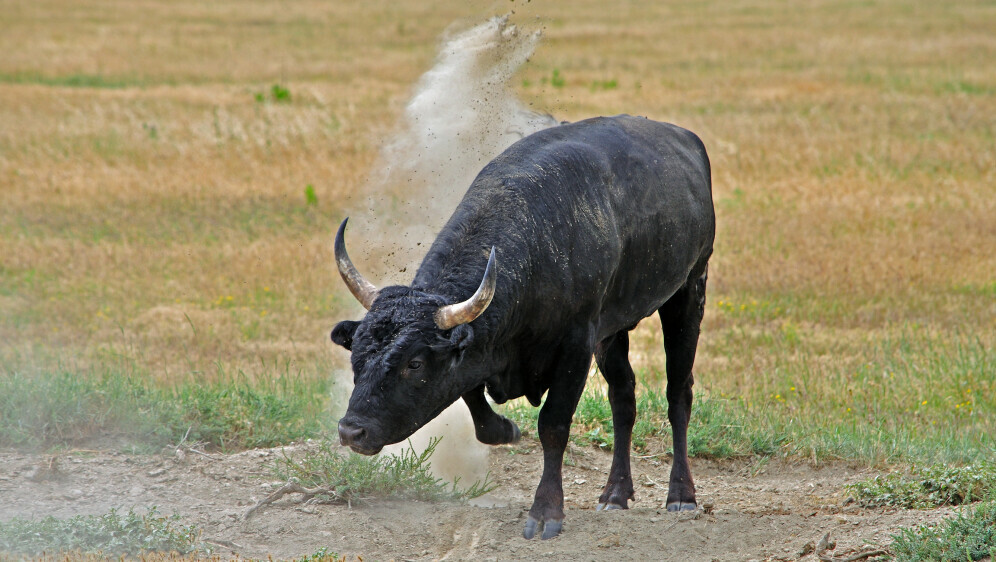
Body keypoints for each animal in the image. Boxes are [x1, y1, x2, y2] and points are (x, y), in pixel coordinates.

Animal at [330, 114, 712, 540]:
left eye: (413, 363)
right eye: (356, 356)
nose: (352, 431)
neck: (538, 244)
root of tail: (685, 138)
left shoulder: (576, 347)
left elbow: (553, 425)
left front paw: (546, 511)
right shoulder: (485, 351)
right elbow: (476, 407)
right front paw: (506, 429)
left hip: (689, 290)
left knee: (678, 392)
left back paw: (681, 494)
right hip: (613, 331)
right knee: (623, 397)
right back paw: (615, 492)